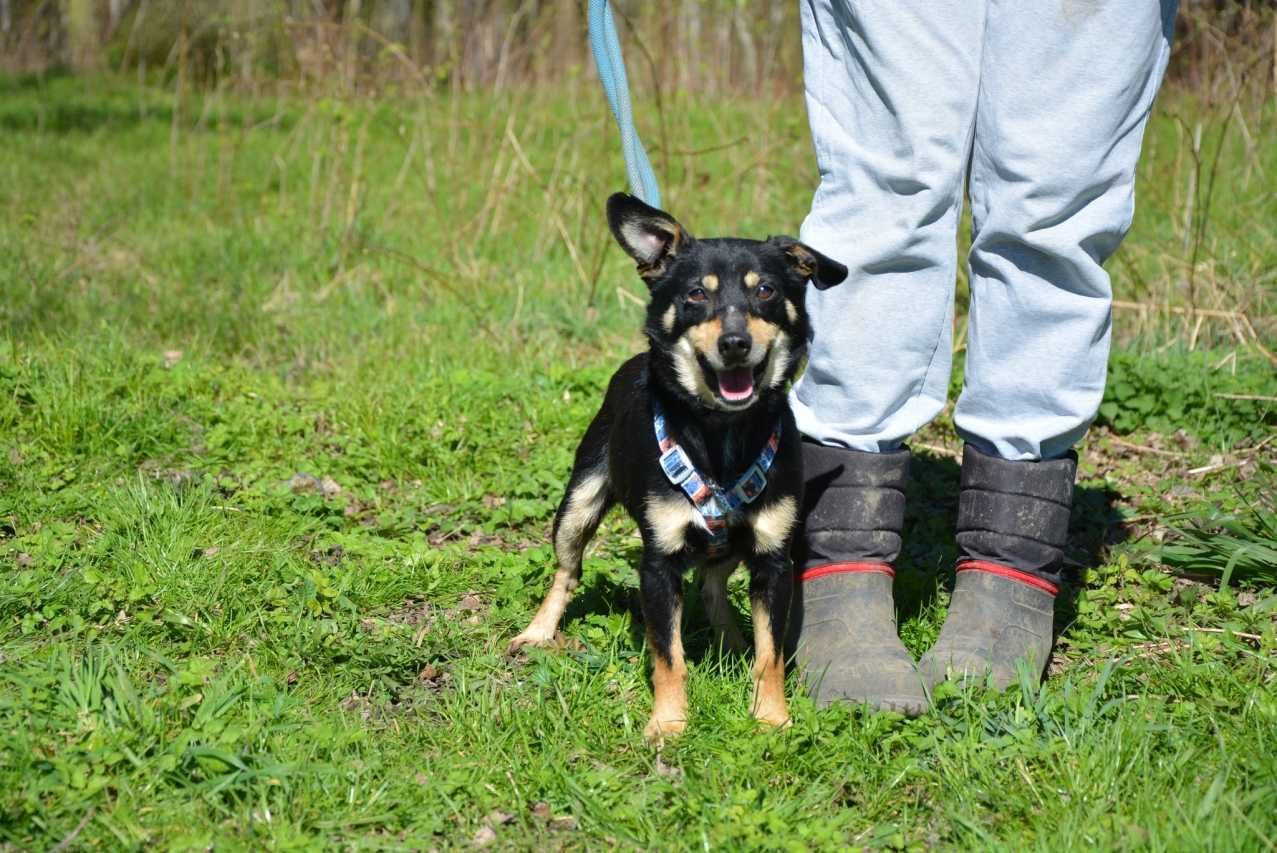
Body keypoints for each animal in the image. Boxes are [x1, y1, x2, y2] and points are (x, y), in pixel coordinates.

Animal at [508, 192, 847, 740]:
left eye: (766, 290)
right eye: (694, 295)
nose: (735, 343)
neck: (722, 432)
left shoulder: (773, 560)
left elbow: (771, 655)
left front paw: (771, 717)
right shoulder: (658, 564)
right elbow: (668, 656)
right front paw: (668, 723)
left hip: (728, 547)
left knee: (712, 587)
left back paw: (733, 643)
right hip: (578, 504)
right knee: (567, 571)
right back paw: (538, 631)